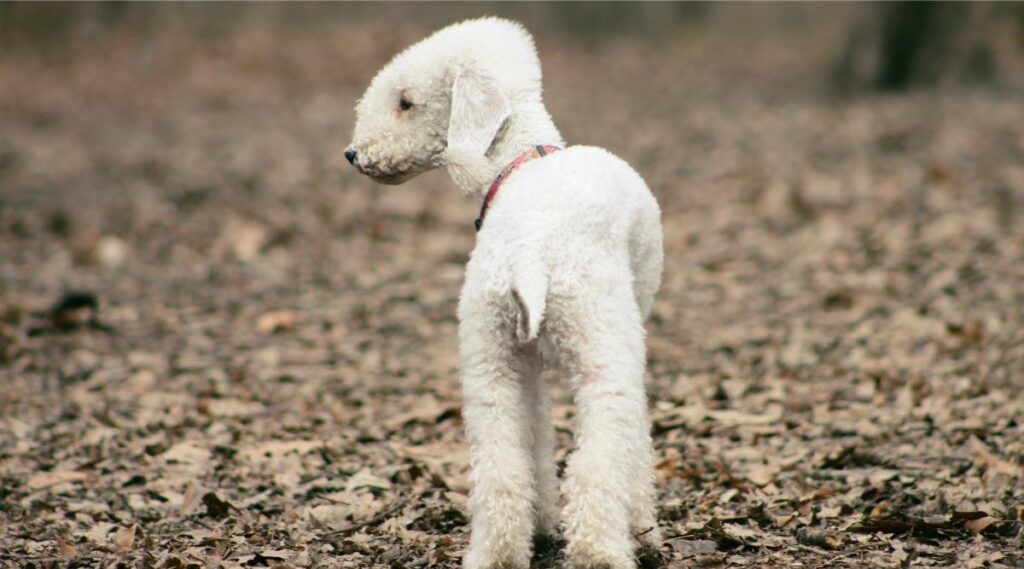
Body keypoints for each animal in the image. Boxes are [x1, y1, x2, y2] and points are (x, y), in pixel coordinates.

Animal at [344, 17, 663, 569]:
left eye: (405, 102)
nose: (353, 154)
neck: (521, 160)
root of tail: (531, 256)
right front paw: (645, 527)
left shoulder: (519, 360)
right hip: (600, 347)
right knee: (597, 463)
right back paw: (603, 552)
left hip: (489, 356)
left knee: (501, 468)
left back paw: (498, 552)